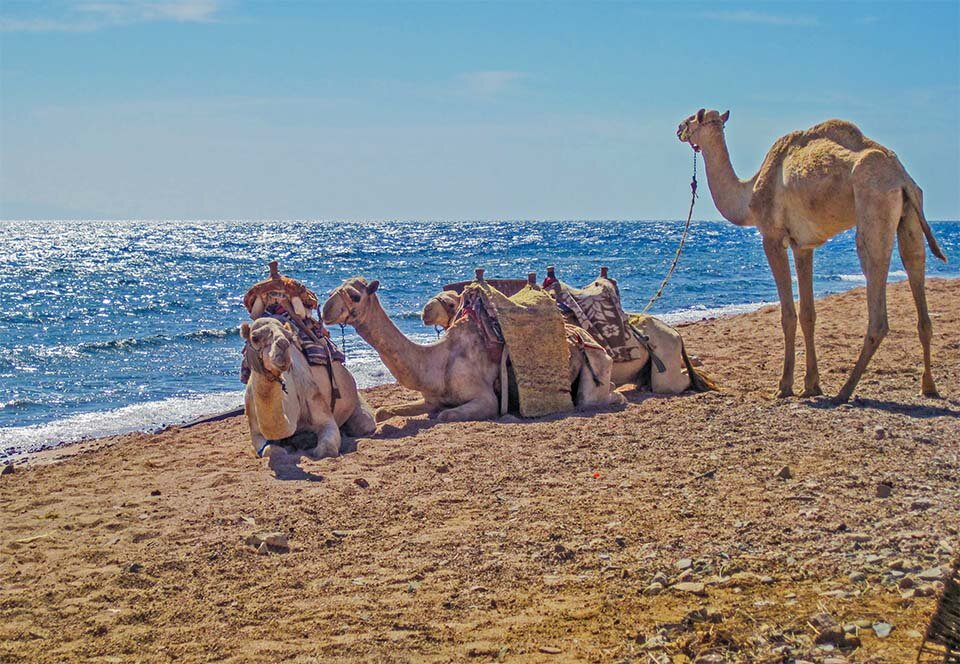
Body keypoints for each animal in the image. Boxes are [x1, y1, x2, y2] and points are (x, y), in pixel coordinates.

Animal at [240, 316, 376, 462]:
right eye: (254, 337)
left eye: (289, 338)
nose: (283, 344)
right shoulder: (255, 430)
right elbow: (269, 451)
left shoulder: (318, 404)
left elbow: (326, 450)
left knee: (365, 423)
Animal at [320, 278, 624, 422]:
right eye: (335, 288)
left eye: (355, 295)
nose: (325, 310)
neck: (437, 362)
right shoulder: (432, 398)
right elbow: (385, 411)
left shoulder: (484, 398)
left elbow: (447, 414)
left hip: (595, 366)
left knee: (594, 397)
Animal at [680, 107, 948, 404]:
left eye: (692, 120)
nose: (678, 128)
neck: (748, 194)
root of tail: (902, 178)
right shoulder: (803, 246)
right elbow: (808, 313)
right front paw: (811, 386)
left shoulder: (772, 237)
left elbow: (787, 314)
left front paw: (784, 386)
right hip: (910, 214)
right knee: (915, 268)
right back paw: (928, 386)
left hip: (874, 204)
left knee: (876, 293)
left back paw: (844, 391)